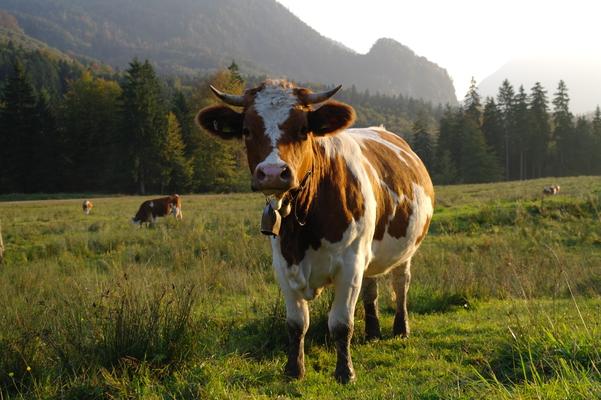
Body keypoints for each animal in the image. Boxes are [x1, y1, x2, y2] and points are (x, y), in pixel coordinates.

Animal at [197, 79, 436, 382]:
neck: (302, 221)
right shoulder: (282, 264)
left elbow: (341, 323)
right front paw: (293, 369)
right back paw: (372, 332)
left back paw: (400, 329)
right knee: (371, 288)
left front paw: (345, 372)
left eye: (302, 129)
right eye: (247, 130)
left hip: (405, 249)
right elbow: (296, 323)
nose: (273, 173)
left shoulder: (350, 264)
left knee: (400, 284)